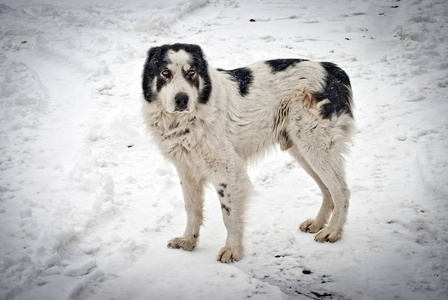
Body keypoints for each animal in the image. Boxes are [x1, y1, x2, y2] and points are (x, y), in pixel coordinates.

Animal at [142, 43, 356, 264]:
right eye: (165, 73)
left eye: (191, 73)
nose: (182, 99)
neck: (188, 120)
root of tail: (331, 69)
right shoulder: (187, 171)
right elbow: (192, 210)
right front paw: (188, 241)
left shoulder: (228, 170)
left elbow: (229, 216)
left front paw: (232, 249)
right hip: (303, 151)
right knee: (328, 190)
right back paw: (318, 223)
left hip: (316, 147)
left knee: (341, 191)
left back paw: (333, 231)